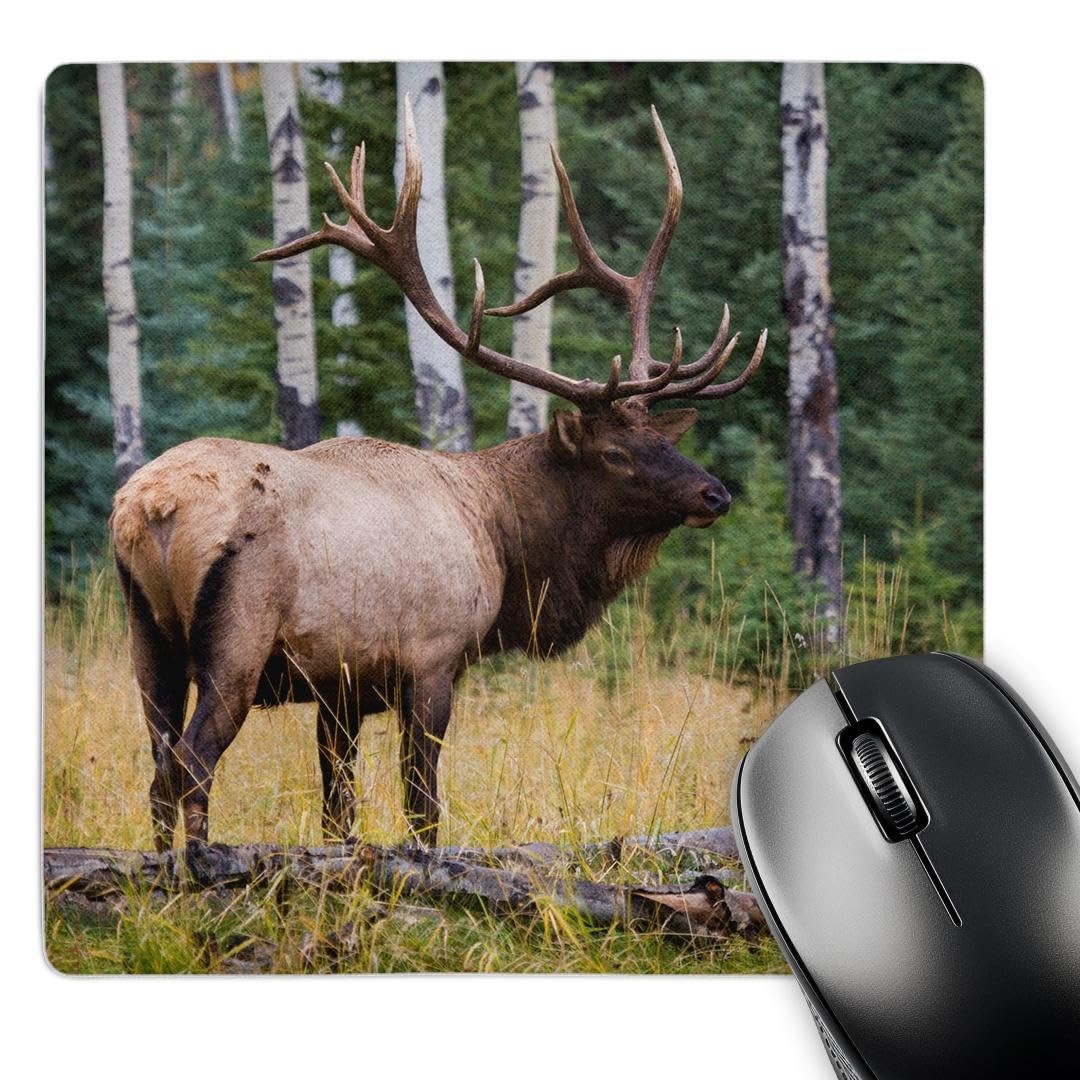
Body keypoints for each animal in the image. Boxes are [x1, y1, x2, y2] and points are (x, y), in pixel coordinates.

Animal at [110, 103, 767, 852]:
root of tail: (151, 507)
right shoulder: (431, 658)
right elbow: (422, 807)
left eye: (659, 436)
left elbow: (340, 811)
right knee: (192, 762)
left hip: (147, 641)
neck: (505, 544)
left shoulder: (342, 689)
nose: (714, 492)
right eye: (615, 453)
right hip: (235, 640)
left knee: (158, 769)